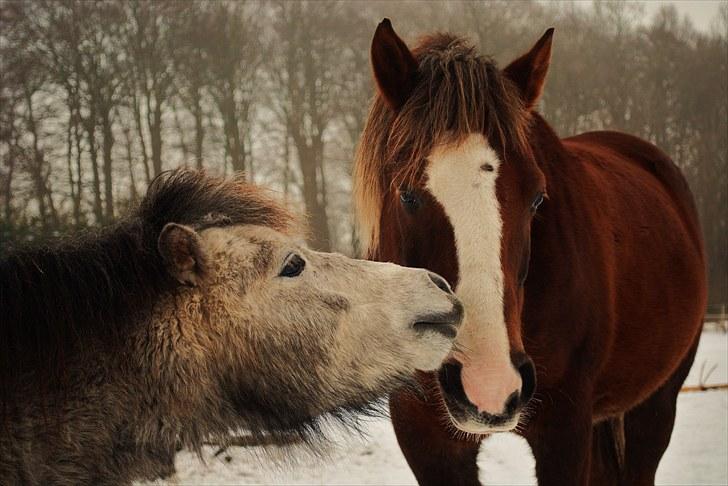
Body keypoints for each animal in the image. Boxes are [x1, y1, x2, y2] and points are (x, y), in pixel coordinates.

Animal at [356, 19, 708, 486]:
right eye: (406, 194)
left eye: (537, 197)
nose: (487, 383)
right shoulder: (423, 433)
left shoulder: (565, 431)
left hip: (654, 407)